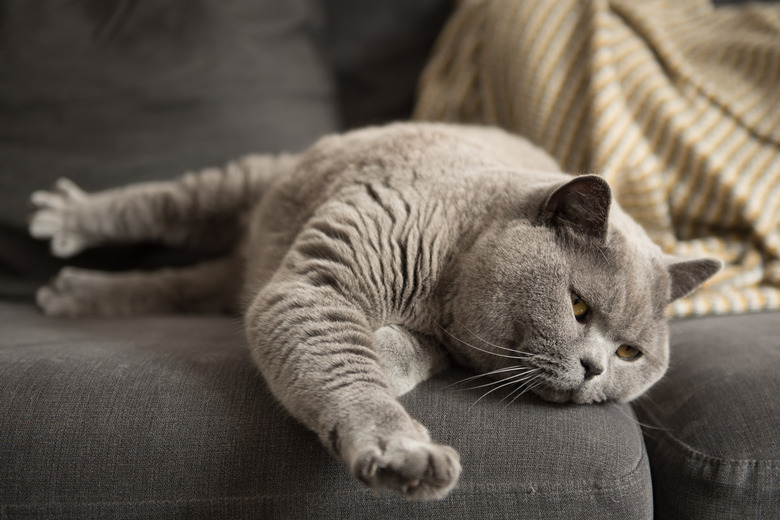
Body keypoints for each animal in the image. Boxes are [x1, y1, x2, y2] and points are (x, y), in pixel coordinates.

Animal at [27, 123, 724, 500]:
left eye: (630, 353)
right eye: (578, 307)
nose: (595, 369)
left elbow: (390, 354)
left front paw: (387, 360)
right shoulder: (319, 288)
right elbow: (344, 362)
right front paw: (402, 451)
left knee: (192, 285)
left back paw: (77, 293)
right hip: (253, 181)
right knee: (167, 205)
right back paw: (64, 219)